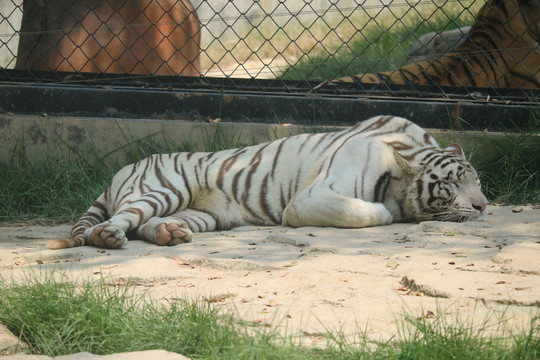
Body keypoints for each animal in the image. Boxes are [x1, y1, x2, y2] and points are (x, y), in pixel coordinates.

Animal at [47, 116, 490, 250]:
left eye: (478, 183)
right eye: (451, 185)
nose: (484, 207)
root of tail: (118, 174)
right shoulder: (311, 198)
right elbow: (374, 212)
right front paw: (389, 211)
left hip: (200, 214)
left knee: (145, 225)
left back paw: (171, 234)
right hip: (163, 189)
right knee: (120, 220)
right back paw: (107, 237)